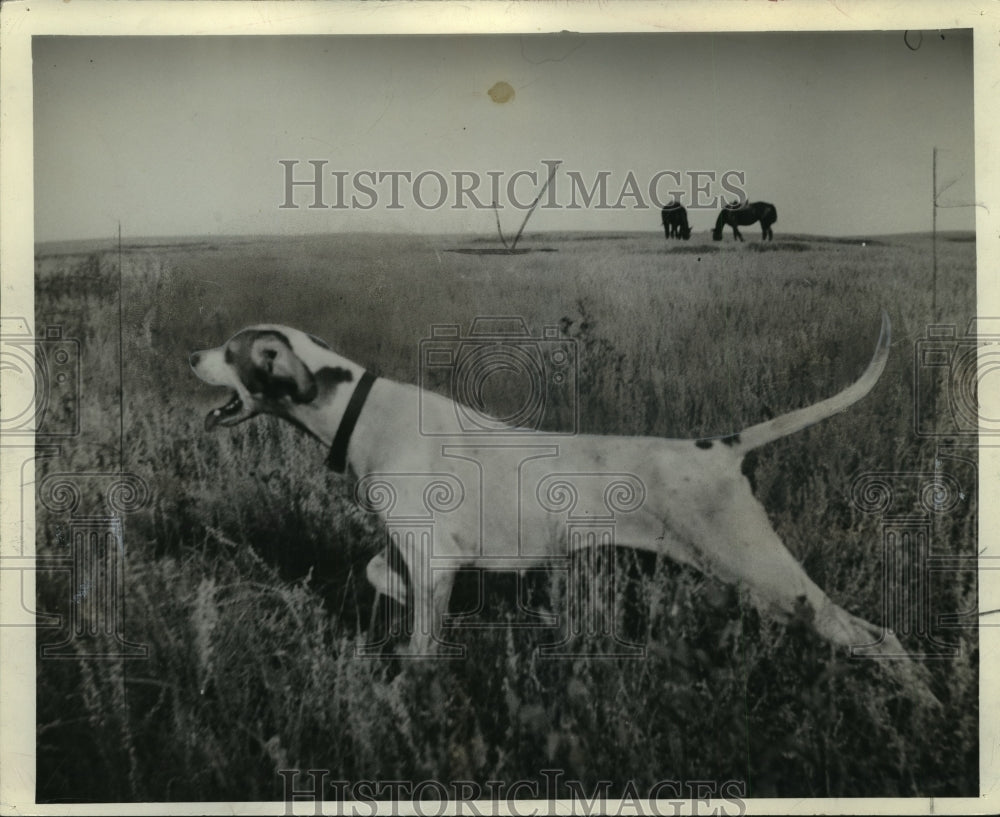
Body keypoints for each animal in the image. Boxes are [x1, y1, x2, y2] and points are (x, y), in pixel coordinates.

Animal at [189, 310, 920, 668]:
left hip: (765, 574)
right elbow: (379, 575)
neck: (361, 411)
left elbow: (422, 641)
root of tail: (721, 449)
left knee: (880, 636)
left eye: (231, 349)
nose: (190, 355)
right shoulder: (418, 555)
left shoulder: (432, 557)